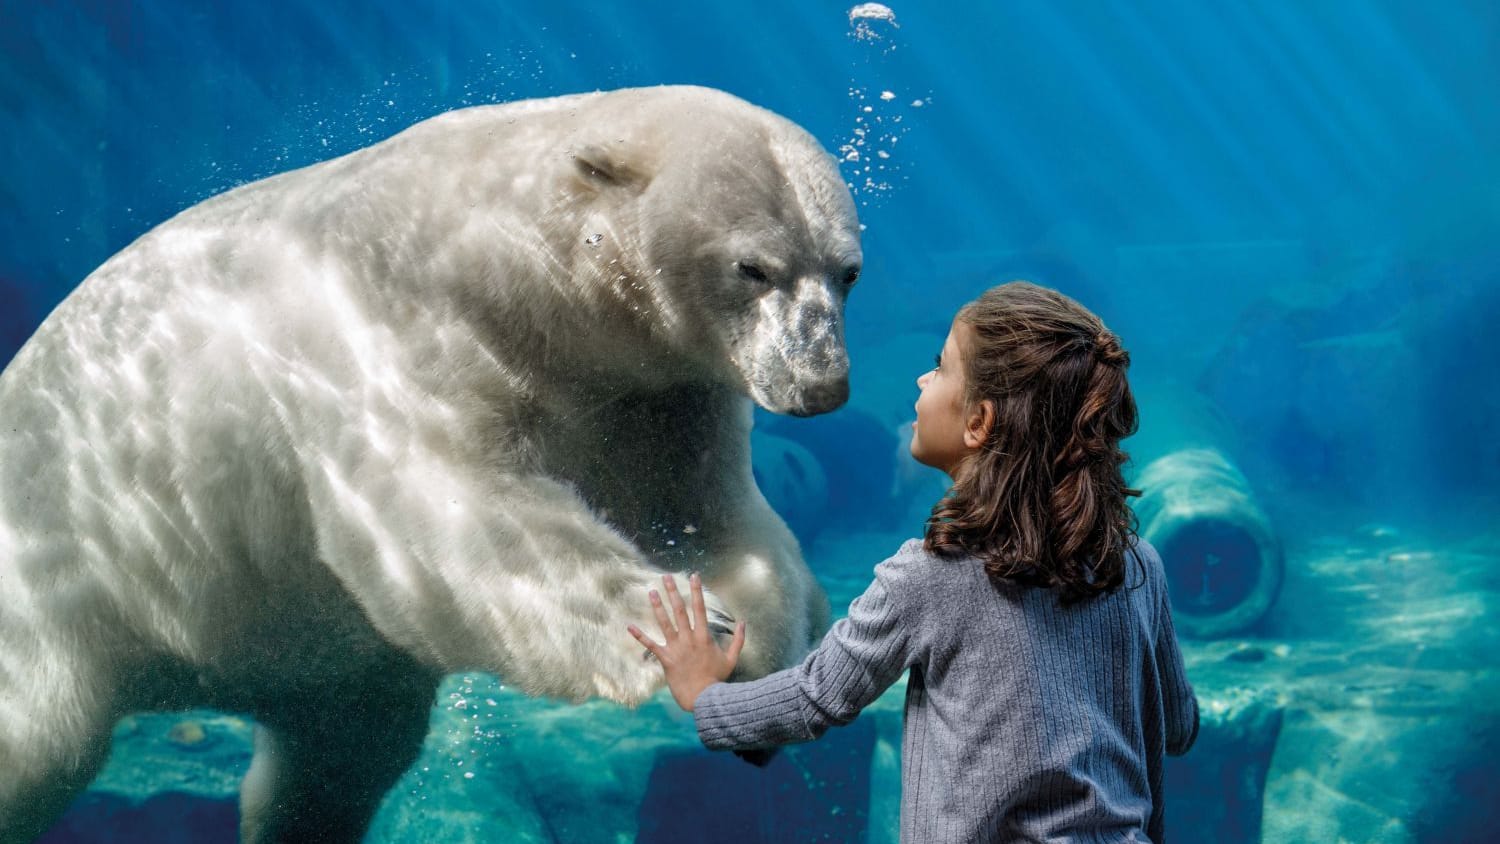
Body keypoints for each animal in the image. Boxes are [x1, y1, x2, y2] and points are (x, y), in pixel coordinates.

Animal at [0, 87, 864, 844]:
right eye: (753, 267)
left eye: (847, 271)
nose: (821, 385)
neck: (502, 264)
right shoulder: (391, 341)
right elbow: (461, 522)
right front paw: (668, 627)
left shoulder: (652, 392)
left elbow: (709, 511)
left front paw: (762, 649)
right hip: (54, 594)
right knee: (37, 744)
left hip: (315, 665)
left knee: (336, 758)